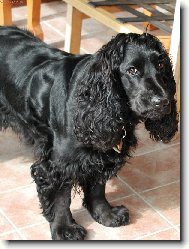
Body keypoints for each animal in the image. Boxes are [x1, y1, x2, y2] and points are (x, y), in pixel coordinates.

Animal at [0, 26, 178, 240]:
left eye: (161, 64)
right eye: (132, 70)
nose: (163, 102)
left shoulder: (102, 155)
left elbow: (97, 188)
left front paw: (106, 215)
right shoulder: (58, 164)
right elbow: (61, 197)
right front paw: (64, 228)